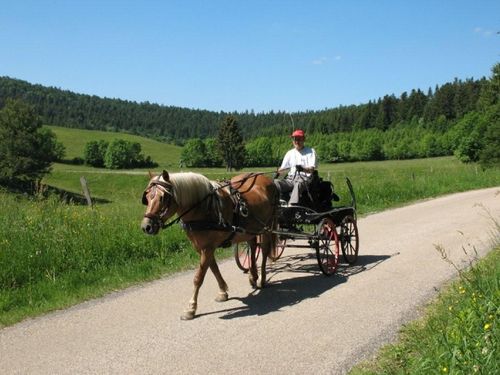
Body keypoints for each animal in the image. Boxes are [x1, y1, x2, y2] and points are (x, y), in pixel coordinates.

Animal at [141, 170, 280, 320]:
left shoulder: (207, 248)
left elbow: (198, 277)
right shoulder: (202, 248)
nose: (146, 227)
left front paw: (191, 308)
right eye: (147, 197)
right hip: (250, 230)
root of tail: (266, 178)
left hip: (267, 226)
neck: (204, 209)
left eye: (163, 197)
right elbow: (213, 268)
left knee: (264, 251)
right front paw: (223, 292)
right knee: (253, 247)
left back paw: (262, 279)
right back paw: (253, 276)